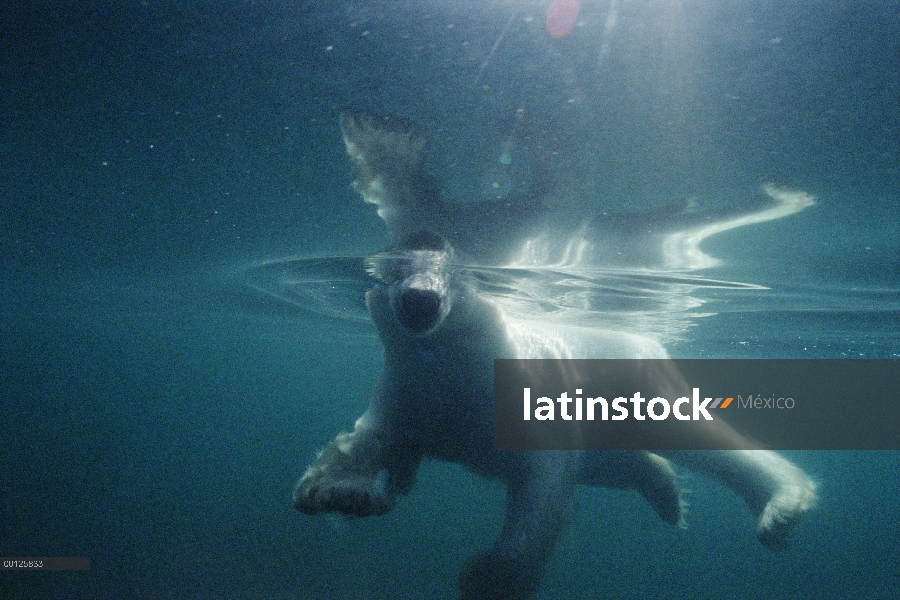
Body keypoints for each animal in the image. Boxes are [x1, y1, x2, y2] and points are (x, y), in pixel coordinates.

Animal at [294, 112, 816, 600]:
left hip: (638, 380)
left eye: (451, 272)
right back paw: (666, 491)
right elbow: (370, 438)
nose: (420, 300)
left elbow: (543, 490)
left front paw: (487, 577)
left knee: (697, 437)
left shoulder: (527, 397)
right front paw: (335, 489)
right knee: (623, 462)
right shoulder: (410, 392)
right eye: (397, 270)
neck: (464, 363)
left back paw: (780, 505)